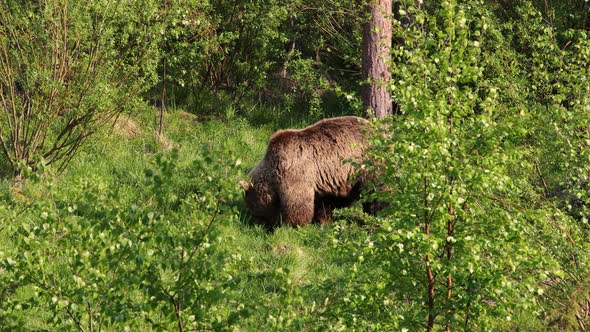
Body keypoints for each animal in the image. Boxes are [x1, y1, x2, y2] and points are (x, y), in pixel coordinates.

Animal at [238, 115, 372, 228]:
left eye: (252, 207)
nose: (257, 224)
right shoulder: (324, 180)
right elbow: (324, 203)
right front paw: (323, 221)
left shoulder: (294, 173)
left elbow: (298, 203)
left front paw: (292, 225)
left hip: (365, 164)